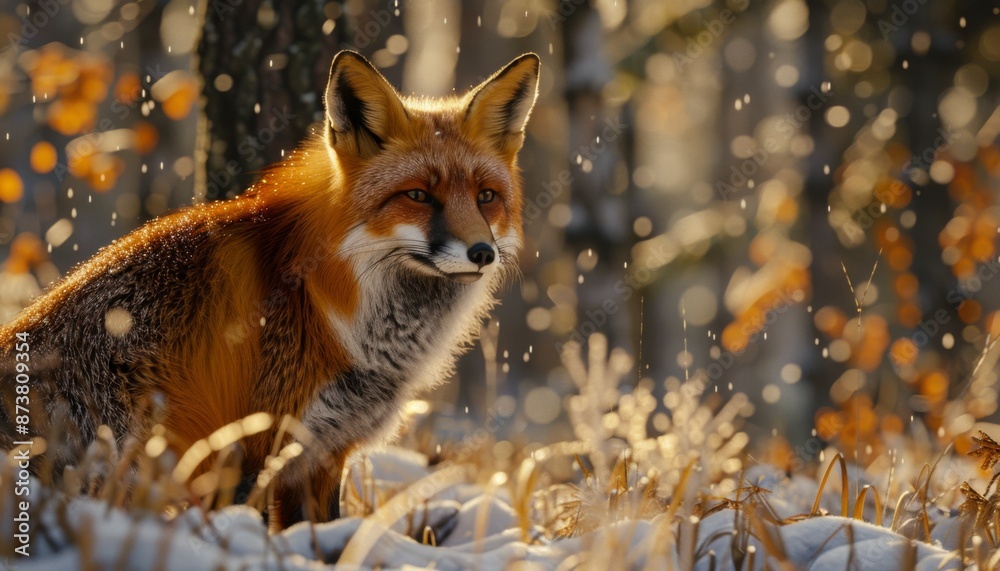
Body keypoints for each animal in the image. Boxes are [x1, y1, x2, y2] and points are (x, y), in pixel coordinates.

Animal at [0, 51, 540, 528]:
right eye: (418, 196)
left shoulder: (323, 451)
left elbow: (319, 533)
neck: (332, 306)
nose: (482, 253)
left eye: (486, 197)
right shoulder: (249, 447)